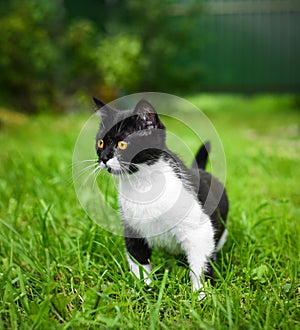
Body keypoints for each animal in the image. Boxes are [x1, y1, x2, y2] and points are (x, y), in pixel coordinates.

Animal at [94, 96, 230, 300]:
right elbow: (138, 261)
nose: (103, 158)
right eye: (101, 143)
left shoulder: (200, 229)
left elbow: (200, 262)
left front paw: (201, 296)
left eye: (122, 144)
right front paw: (145, 291)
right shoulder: (132, 227)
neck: (143, 183)